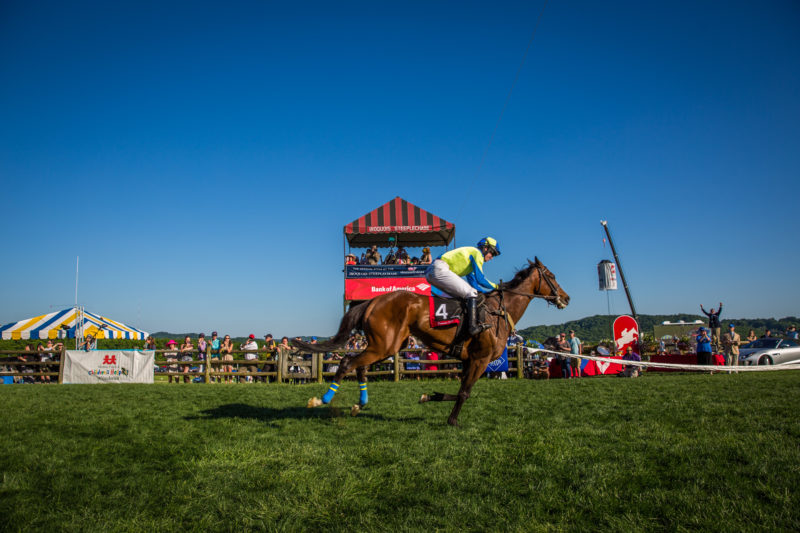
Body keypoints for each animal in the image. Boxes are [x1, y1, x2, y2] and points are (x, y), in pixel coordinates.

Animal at [294, 256, 568, 426]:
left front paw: (429, 396)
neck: (497, 312)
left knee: (359, 367)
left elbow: (459, 391)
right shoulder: (480, 359)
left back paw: (359, 405)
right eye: (552, 276)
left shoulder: (468, 360)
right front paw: (452, 421)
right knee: (346, 363)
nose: (566, 297)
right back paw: (321, 400)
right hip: (384, 345)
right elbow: (465, 393)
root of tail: (373, 300)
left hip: (390, 346)